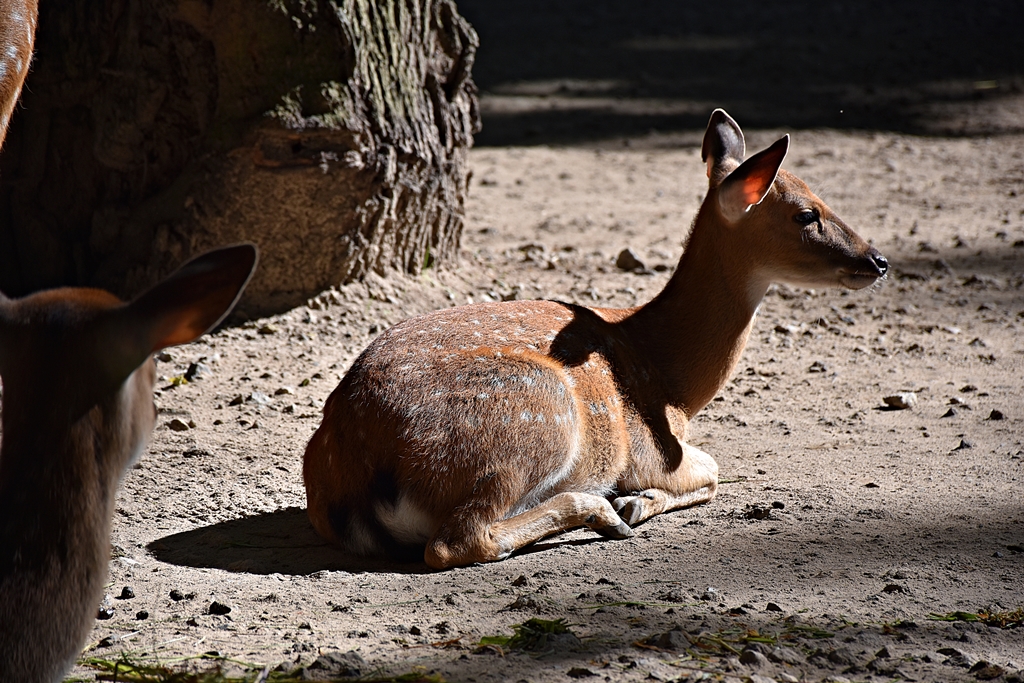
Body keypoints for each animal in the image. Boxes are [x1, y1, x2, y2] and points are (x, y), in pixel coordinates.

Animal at [303, 109, 889, 570]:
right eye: (806, 213)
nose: (877, 260)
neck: (673, 380)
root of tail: (359, 478)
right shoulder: (652, 450)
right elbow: (715, 471)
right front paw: (635, 503)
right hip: (533, 418)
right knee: (457, 541)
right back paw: (603, 513)